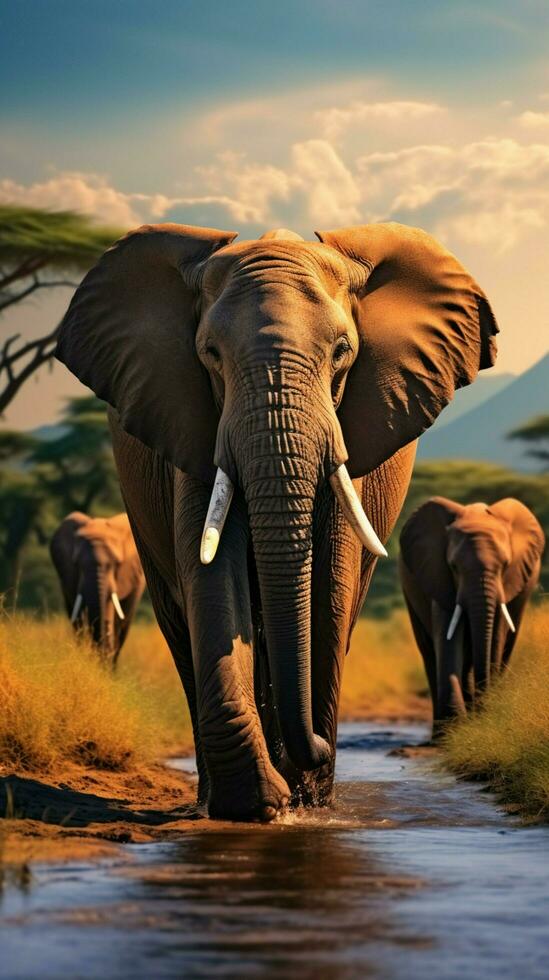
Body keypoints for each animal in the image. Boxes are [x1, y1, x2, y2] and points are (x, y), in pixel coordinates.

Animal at [398, 498, 544, 736]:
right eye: (454, 567)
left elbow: (497, 635)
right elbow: (448, 638)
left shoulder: (508, 582)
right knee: (429, 652)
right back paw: (442, 733)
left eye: (505, 564)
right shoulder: (439, 577)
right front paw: (454, 730)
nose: (485, 709)